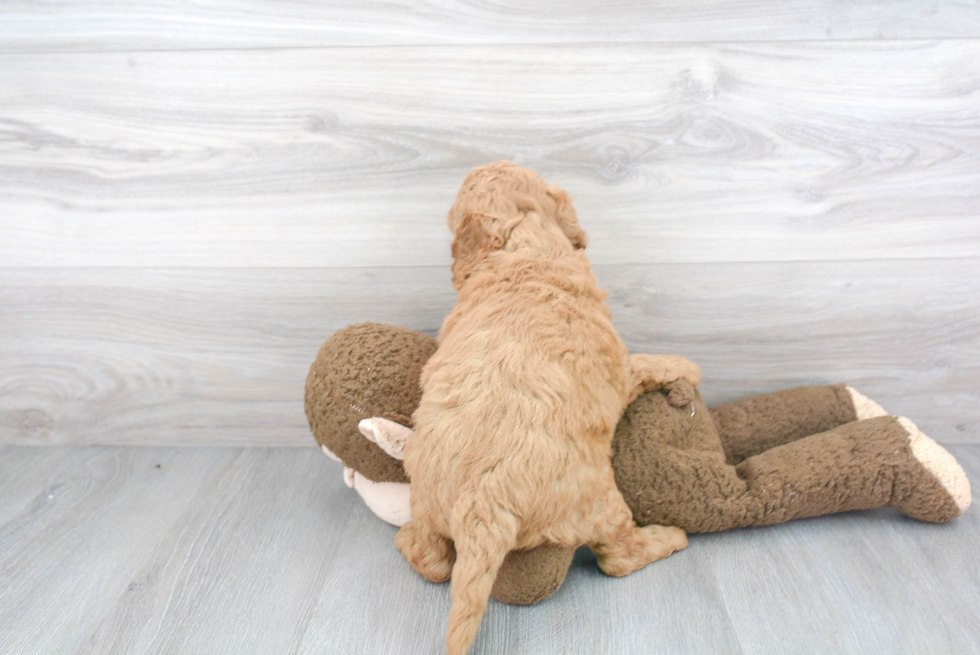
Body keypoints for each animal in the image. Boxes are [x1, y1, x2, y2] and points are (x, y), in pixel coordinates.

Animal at [396, 163, 696, 655]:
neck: (523, 247)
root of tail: (481, 505)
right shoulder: (619, 370)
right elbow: (646, 364)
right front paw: (686, 366)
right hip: (599, 503)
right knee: (617, 557)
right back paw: (668, 538)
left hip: (424, 501)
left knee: (432, 561)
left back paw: (406, 541)